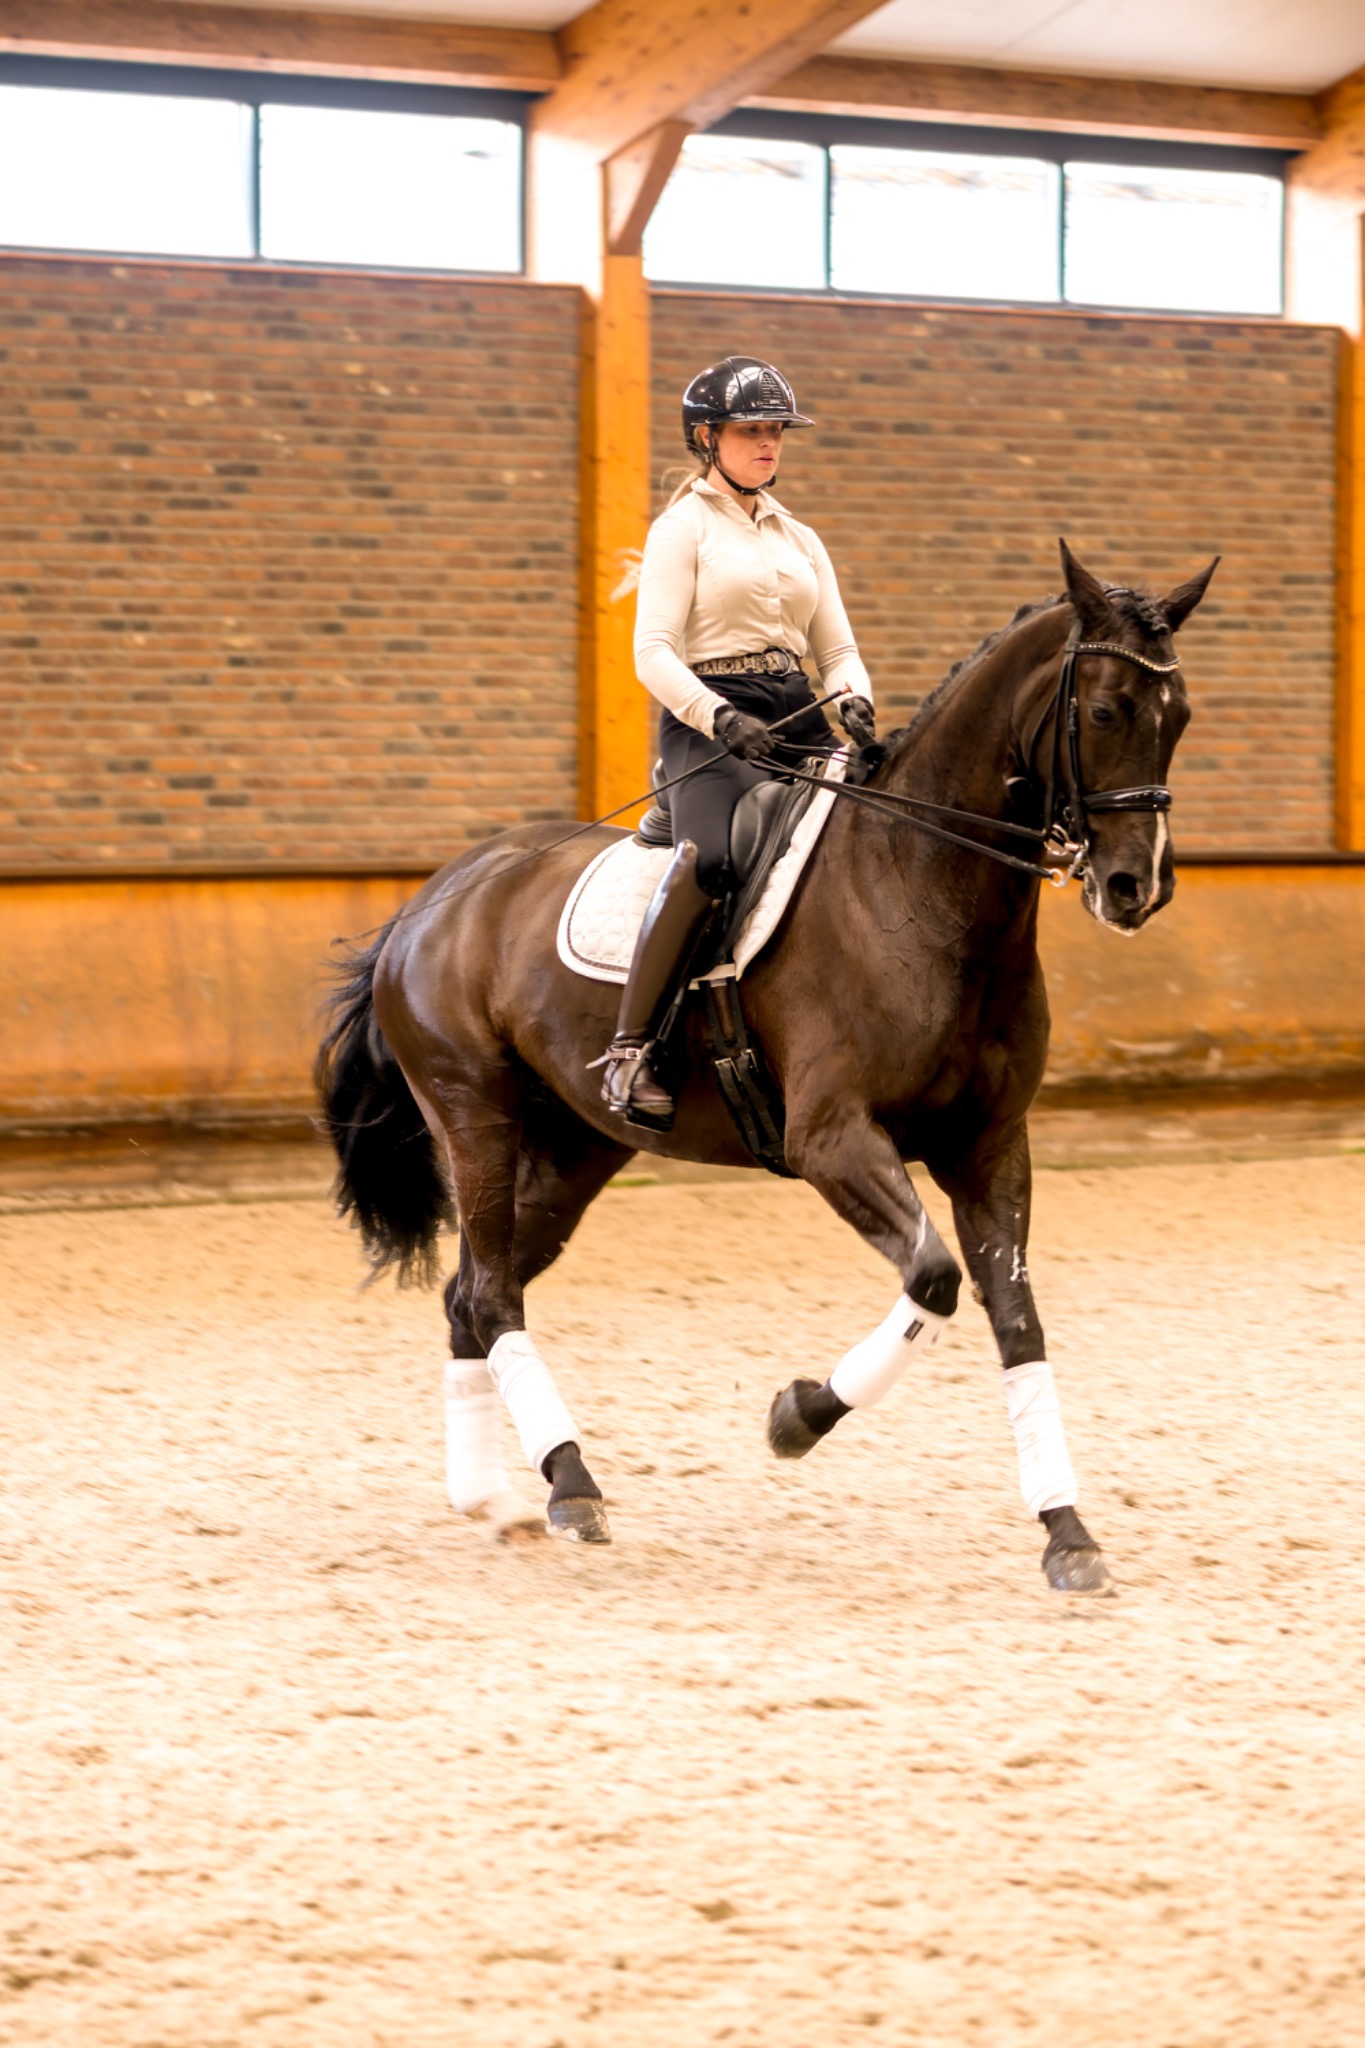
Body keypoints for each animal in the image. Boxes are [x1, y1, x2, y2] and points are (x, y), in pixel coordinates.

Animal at [316, 540, 1217, 1591]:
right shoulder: (831, 1140)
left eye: (1179, 716)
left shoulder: (990, 1147)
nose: (1135, 887)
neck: (922, 889)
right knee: (492, 1290)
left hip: (577, 1146)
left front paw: (1066, 1533)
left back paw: (496, 1499)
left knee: (471, 1293)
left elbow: (1016, 1318)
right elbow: (933, 1279)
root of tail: (431, 900)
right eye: (1106, 711)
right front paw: (797, 1416)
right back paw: (571, 1487)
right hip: (476, 1118)